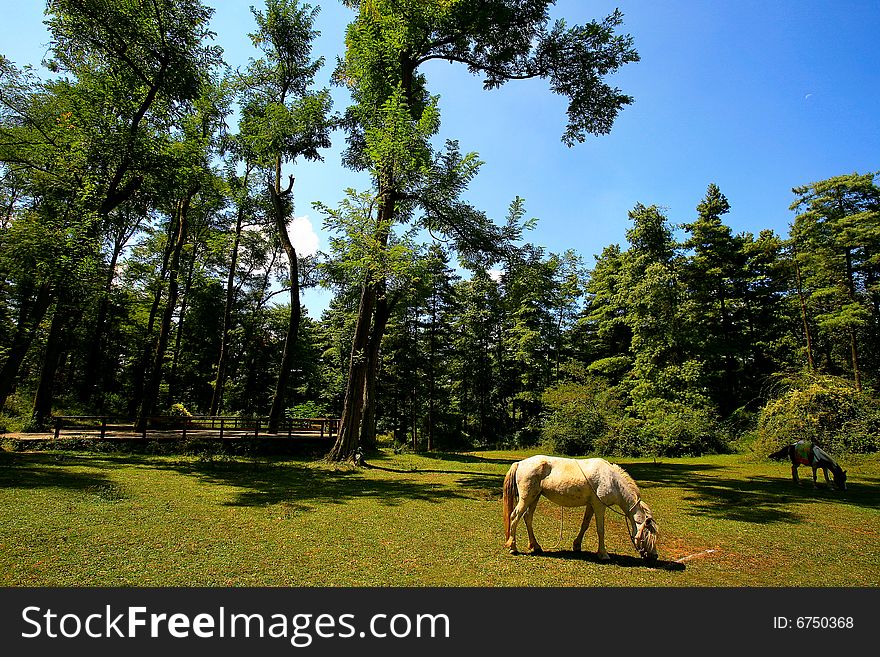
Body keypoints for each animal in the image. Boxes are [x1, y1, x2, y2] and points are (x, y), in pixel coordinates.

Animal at [506, 456, 656, 560]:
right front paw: (603, 554)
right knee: (515, 516)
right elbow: (600, 530)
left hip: (535, 497)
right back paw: (513, 547)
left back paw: (535, 546)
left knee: (527, 518)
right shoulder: (599, 506)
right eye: (648, 534)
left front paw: (577, 545)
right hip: (526, 498)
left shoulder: (591, 505)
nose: (655, 556)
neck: (612, 480)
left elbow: (585, 525)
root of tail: (520, 463)